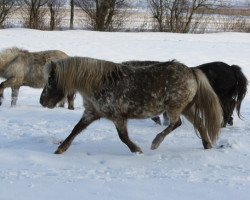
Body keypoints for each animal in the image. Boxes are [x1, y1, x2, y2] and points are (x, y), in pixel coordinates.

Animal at [40, 57, 222, 154]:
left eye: (51, 80)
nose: (42, 101)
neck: (99, 84)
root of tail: (191, 71)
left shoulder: (118, 117)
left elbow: (123, 137)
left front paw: (137, 150)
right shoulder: (91, 113)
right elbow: (75, 130)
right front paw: (60, 149)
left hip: (175, 108)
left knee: (176, 123)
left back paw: (156, 142)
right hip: (186, 108)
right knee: (199, 123)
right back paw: (207, 146)